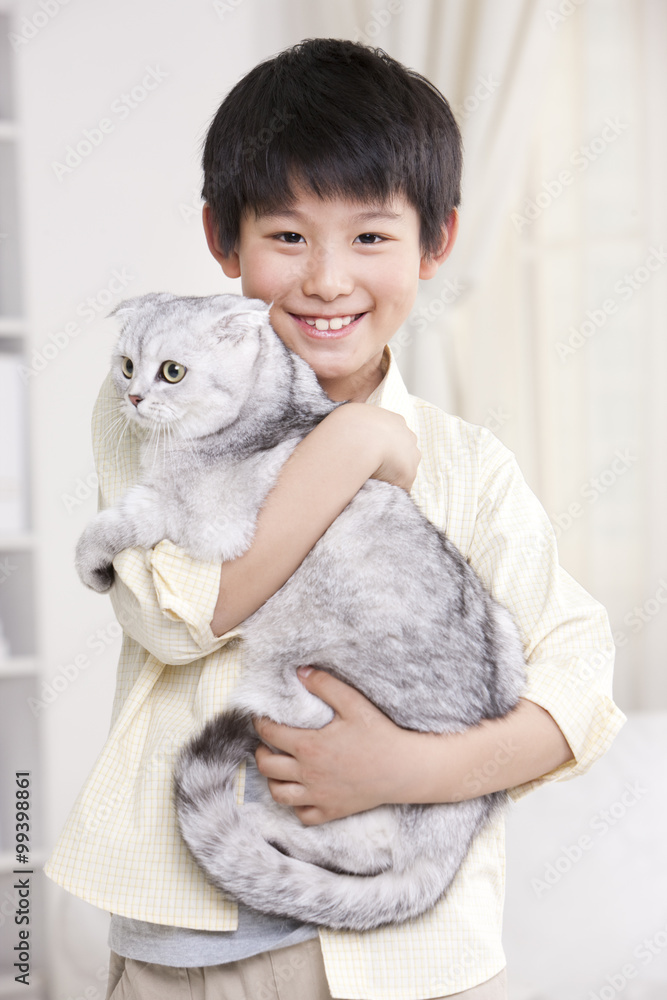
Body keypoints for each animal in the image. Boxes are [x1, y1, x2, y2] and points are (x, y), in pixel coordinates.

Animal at [75, 290, 528, 928]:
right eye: (126, 366)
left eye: (172, 372)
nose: (134, 397)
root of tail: (465, 815)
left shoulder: (205, 523)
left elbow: (122, 519)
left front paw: (92, 561)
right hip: (505, 633)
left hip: (295, 693)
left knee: (361, 845)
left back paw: (265, 819)